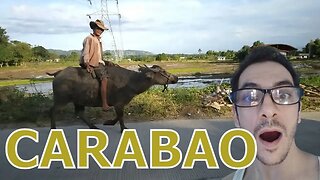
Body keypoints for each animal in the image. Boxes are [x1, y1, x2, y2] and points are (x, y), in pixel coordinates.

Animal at [47, 64, 179, 131]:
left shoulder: (120, 104)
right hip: (61, 100)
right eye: (163, 71)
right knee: (52, 110)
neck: (132, 81)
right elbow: (121, 116)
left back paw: (94, 127)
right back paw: (53, 128)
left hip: (79, 101)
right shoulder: (119, 103)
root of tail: (58, 73)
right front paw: (123, 128)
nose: (176, 77)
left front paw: (108, 122)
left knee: (80, 113)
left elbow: (118, 116)